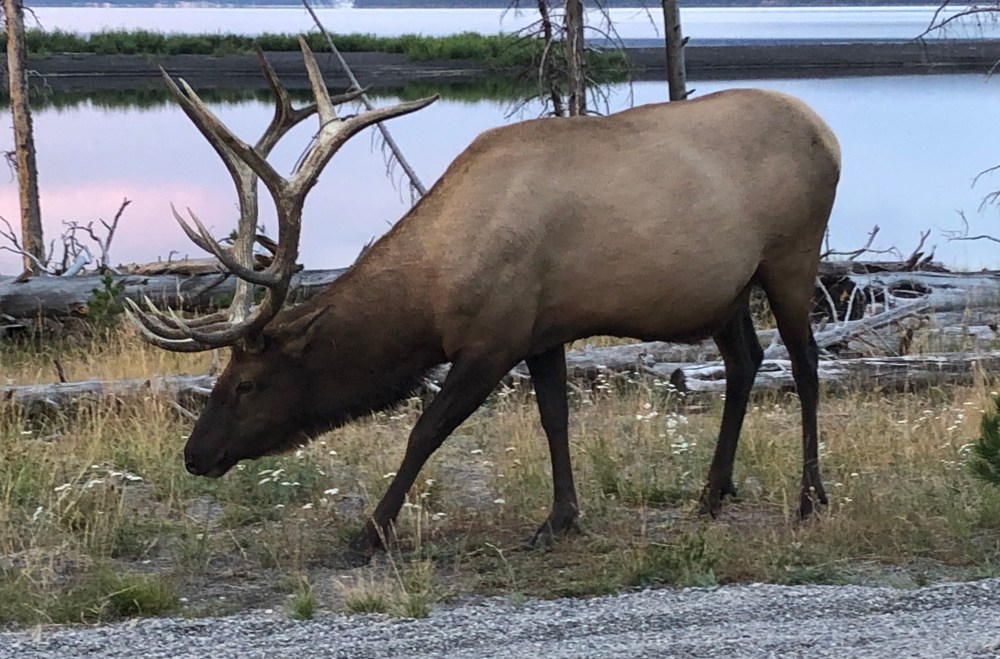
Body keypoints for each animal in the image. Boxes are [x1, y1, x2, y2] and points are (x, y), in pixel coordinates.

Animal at [130, 40, 841, 564]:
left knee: (806, 365)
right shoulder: (543, 331)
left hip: (792, 256)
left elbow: (425, 431)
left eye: (246, 383)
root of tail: (828, 133)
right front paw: (560, 519)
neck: (433, 292)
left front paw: (369, 533)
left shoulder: (492, 339)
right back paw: (711, 495)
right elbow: (555, 418)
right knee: (745, 362)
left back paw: (811, 498)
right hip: (728, 290)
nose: (195, 455)